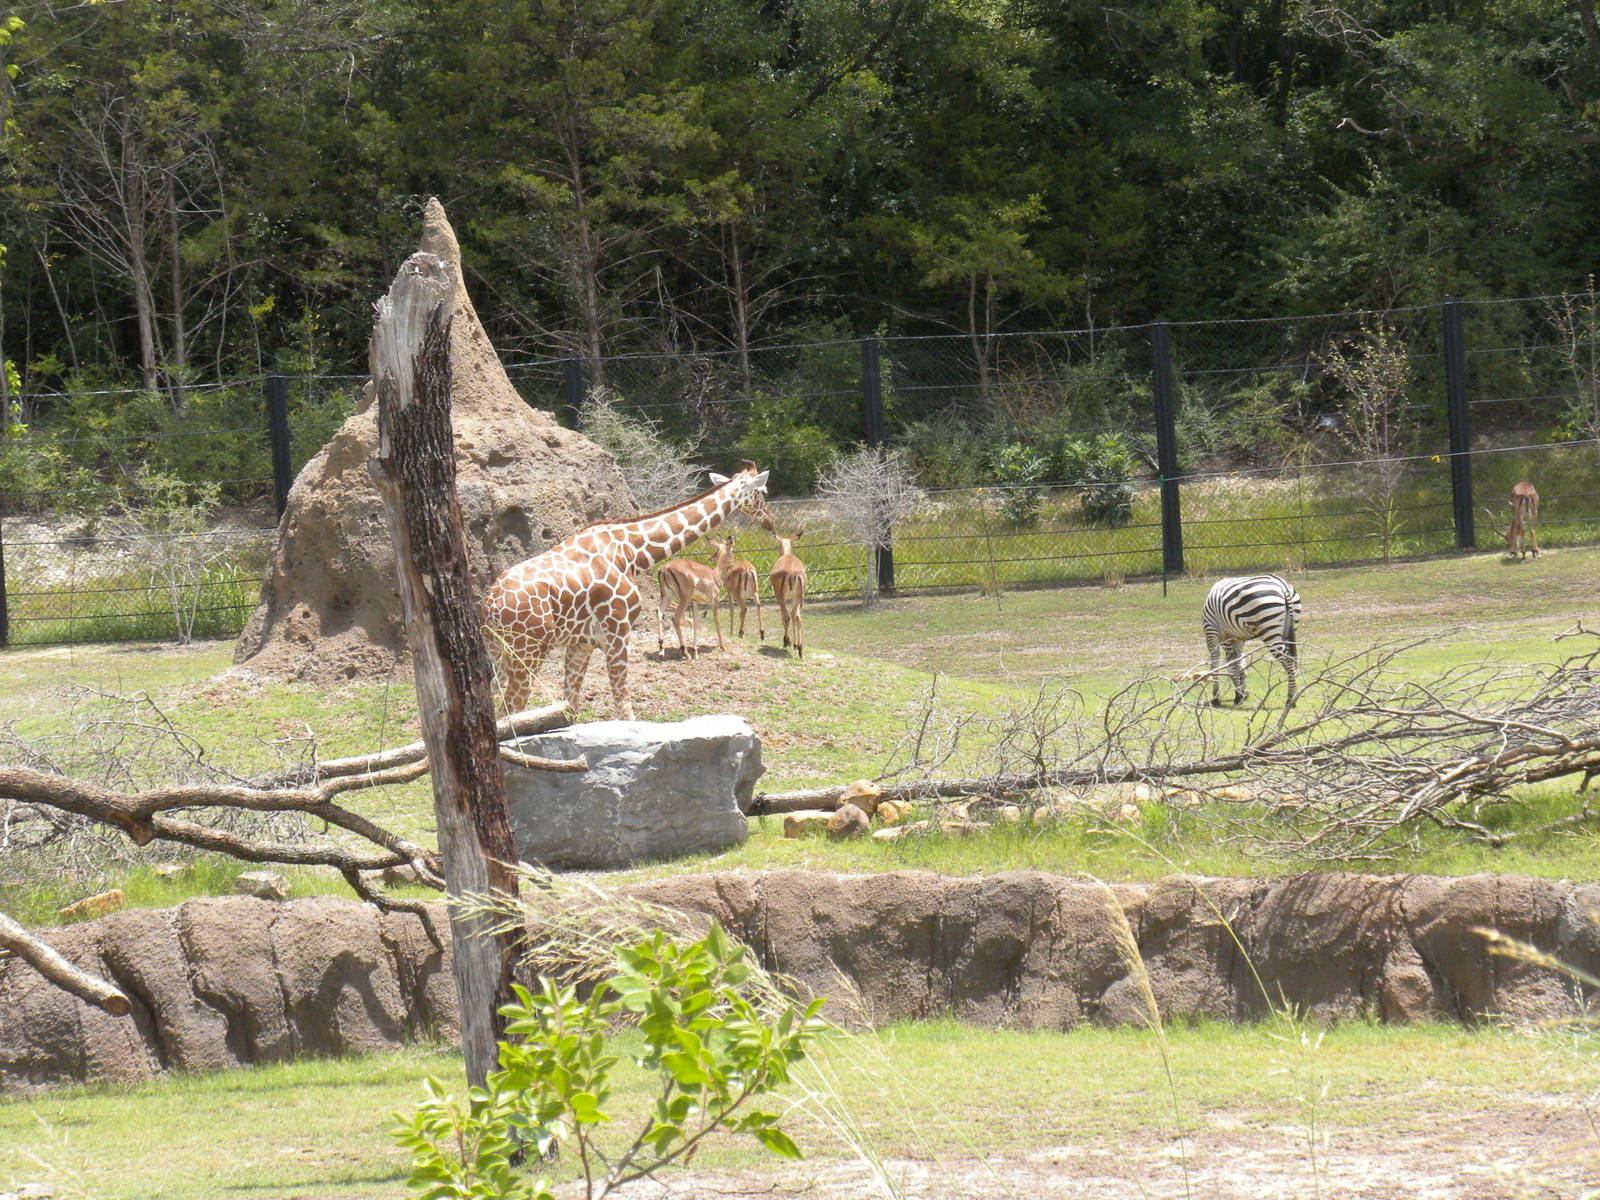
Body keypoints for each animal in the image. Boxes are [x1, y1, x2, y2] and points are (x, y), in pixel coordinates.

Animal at [482, 461, 773, 720]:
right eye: (763, 492)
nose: (769, 521)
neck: (633, 550)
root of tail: (491, 604)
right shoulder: (618, 632)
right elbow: (624, 708)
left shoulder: (581, 642)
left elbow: (571, 708)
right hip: (528, 651)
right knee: (511, 709)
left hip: (498, 652)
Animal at [1201, 574, 1302, 709]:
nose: (1246, 694)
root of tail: (1282, 585)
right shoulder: (1237, 638)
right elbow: (1240, 664)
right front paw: (1242, 695)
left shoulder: (1214, 632)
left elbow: (1221, 664)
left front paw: (1218, 697)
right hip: (1290, 627)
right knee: (1293, 661)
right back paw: (1294, 696)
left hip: (1269, 629)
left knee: (1289, 661)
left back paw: (1290, 700)